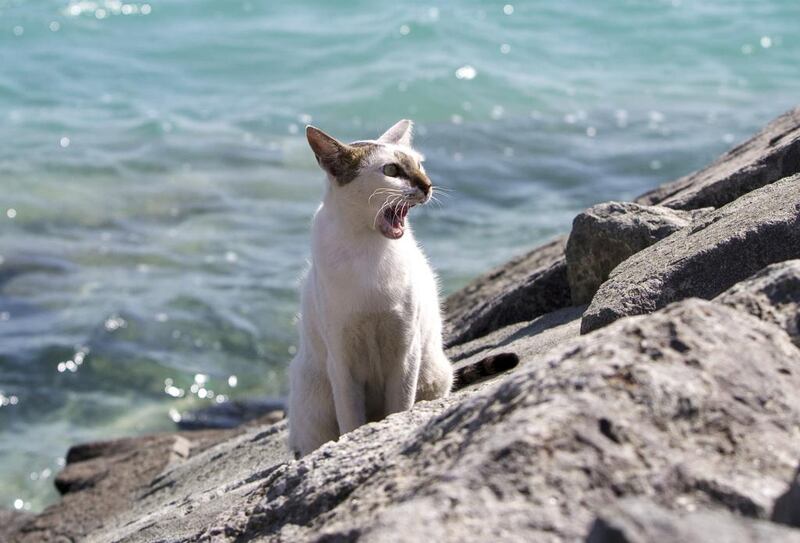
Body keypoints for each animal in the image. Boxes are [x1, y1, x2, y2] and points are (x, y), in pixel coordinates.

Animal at [288, 121, 520, 456]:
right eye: (392, 170)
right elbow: (351, 420)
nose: (428, 185)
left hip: (432, 371)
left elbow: (399, 406)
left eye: (419, 166)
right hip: (315, 401)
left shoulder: (405, 347)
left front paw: (386, 432)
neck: (369, 250)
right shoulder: (342, 358)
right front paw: (356, 441)